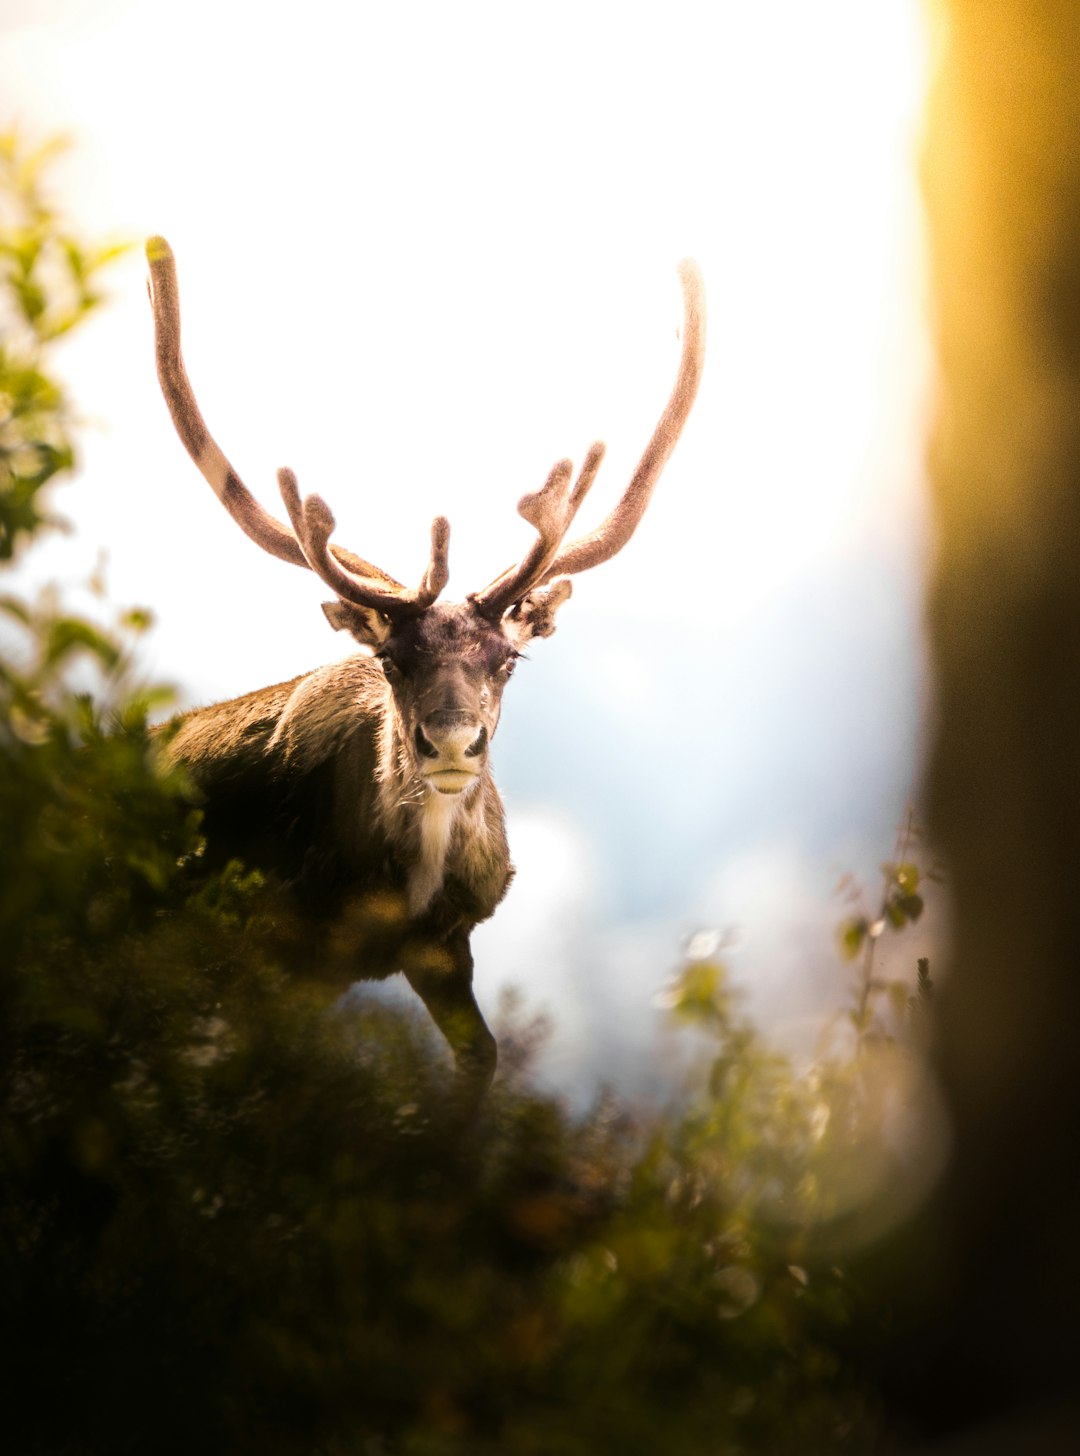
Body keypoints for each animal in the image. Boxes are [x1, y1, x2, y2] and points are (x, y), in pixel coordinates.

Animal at [147, 238, 707, 1100]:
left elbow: (482, 1060)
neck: (401, 887)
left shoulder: (443, 945)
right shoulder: (272, 951)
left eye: (508, 657)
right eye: (390, 657)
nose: (450, 743)